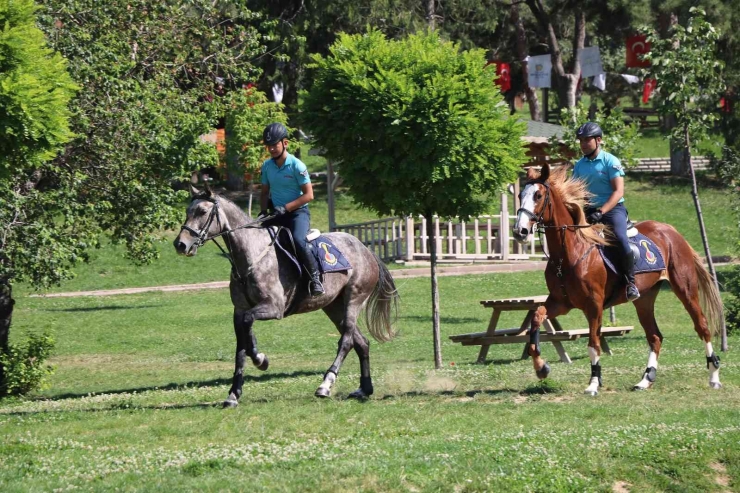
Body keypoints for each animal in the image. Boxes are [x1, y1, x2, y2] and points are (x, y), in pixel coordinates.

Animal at [173, 186, 398, 406]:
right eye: (188, 211)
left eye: (202, 212)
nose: (180, 244)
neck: (251, 256)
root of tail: (365, 250)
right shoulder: (239, 310)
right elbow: (241, 347)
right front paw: (233, 394)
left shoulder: (274, 307)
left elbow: (248, 327)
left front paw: (260, 359)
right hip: (334, 307)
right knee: (361, 342)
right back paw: (364, 389)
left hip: (354, 299)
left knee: (347, 341)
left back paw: (325, 385)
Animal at [512, 163, 720, 394]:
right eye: (520, 195)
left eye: (538, 195)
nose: (519, 231)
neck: (569, 253)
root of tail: (671, 231)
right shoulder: (561, 302)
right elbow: (537, 317)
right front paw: (541, 368)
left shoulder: (593, 305)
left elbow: (593, 344)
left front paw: (593, 383)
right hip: (644, 299)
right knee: (655, 336)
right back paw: (645, 380)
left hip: (685, 289)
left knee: (702, 327)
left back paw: (714, 376)